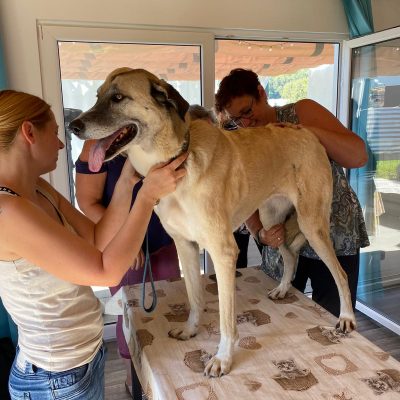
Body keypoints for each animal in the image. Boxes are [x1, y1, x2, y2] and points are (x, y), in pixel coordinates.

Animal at [69, 67, 356, 376]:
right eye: (97, 96)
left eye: (118, 98)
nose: (73, 126)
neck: (178, 160)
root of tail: (309, 135)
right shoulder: (185, 246)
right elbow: (194, 297)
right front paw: (190, 330)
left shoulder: (224, 252)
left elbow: (226, 318)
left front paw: (223, 358)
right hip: (271, 220)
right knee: (290, 255)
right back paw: (282, 289)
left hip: (312, 224)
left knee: (340, 274)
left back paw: (346, 317)